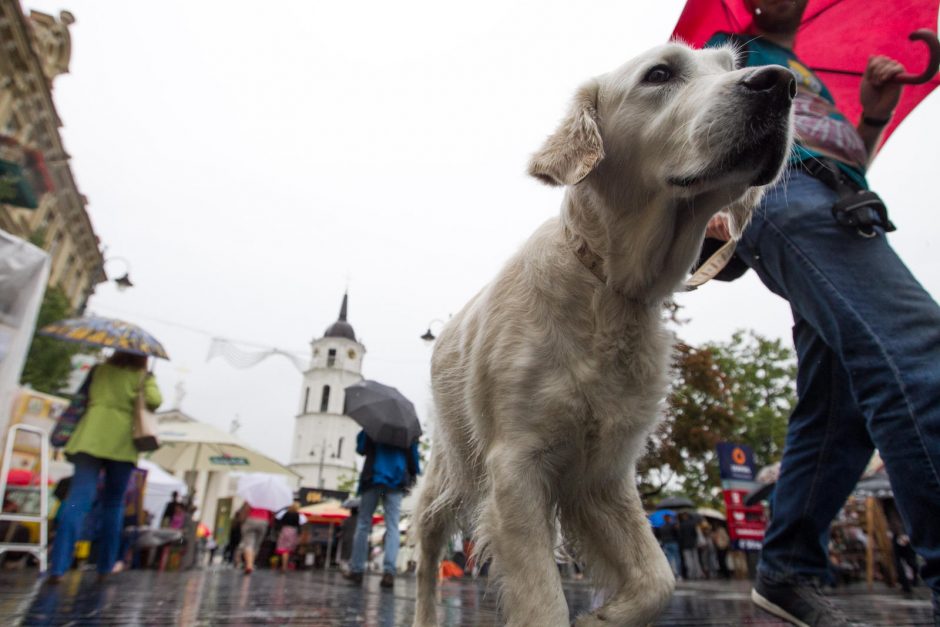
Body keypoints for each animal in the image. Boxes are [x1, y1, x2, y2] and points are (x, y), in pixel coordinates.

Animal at [412, 41, 792, 624]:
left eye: (730, 67)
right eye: (659, 74)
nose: (782, 82)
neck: (610, 291)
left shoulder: (604, 473)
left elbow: (659, 579)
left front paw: (601, 616)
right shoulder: (515, 465)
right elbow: (544, 602)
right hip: (452, 471)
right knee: (427, 550)